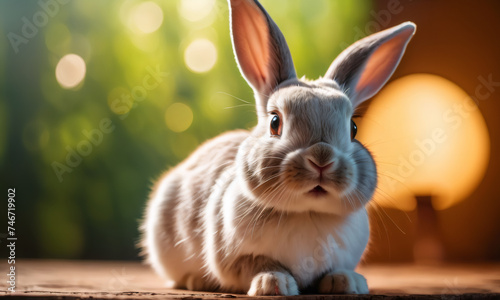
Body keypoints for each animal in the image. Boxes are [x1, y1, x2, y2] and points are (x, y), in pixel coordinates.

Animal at [141, 0, 414, 296]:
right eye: (275, 122)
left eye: (353, 128)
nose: (322, 159)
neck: (307, 213)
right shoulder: (237, 258)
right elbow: (260, 265)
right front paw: (273, 284)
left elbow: (335, 270)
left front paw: (348, 283)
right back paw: (197, 280)